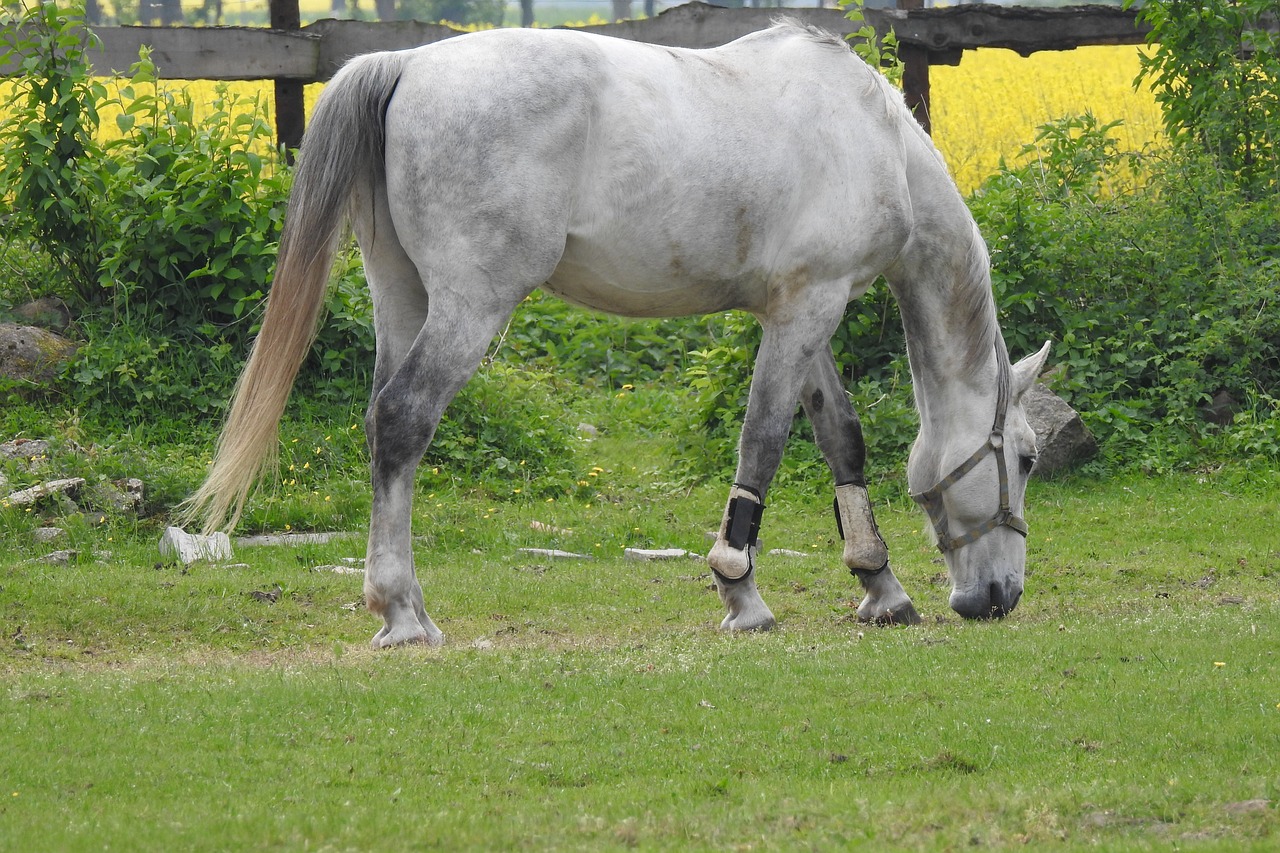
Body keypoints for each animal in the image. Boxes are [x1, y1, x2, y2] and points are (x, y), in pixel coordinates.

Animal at [185, 19, 1054, 645]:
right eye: (1025, 456)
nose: (1000, 595)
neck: (878, 139)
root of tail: (405, 64)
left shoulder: (796, 311)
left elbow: (841, 437)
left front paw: (880, 585)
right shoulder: (811, 307)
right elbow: (762, 442)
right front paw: (740, 590)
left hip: (402, 302)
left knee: (380, 421)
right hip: (471, 307)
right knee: (404, 419)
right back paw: (403, 611)